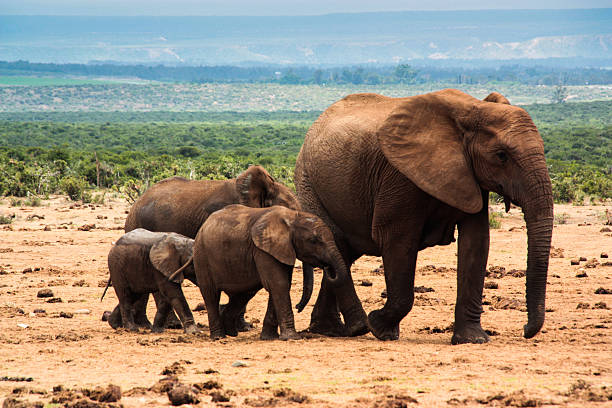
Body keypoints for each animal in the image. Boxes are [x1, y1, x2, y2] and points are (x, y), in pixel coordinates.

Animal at [194, 204, 352, 342]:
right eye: (313, 240)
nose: (298, 307)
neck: (293, 217)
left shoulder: (280, 249)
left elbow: (281, 285)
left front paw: (269, 338)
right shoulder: (263, 250)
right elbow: (278, 284)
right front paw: (292, 338)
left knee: (243, 295)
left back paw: (231, 333)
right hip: (201, 256)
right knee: (211, 294)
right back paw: (218, 337)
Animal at [296, 89, 556, 344]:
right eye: (502, 155)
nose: (525, 330)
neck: (473, 109)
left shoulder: (470, 176)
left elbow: (477, 242)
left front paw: (472, 339)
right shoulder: (400, 176)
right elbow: (397, 239)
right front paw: (379, 327)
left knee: (341, 255)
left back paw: (331, 330)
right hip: (308, 181)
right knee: (337, 246)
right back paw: (351, 328)